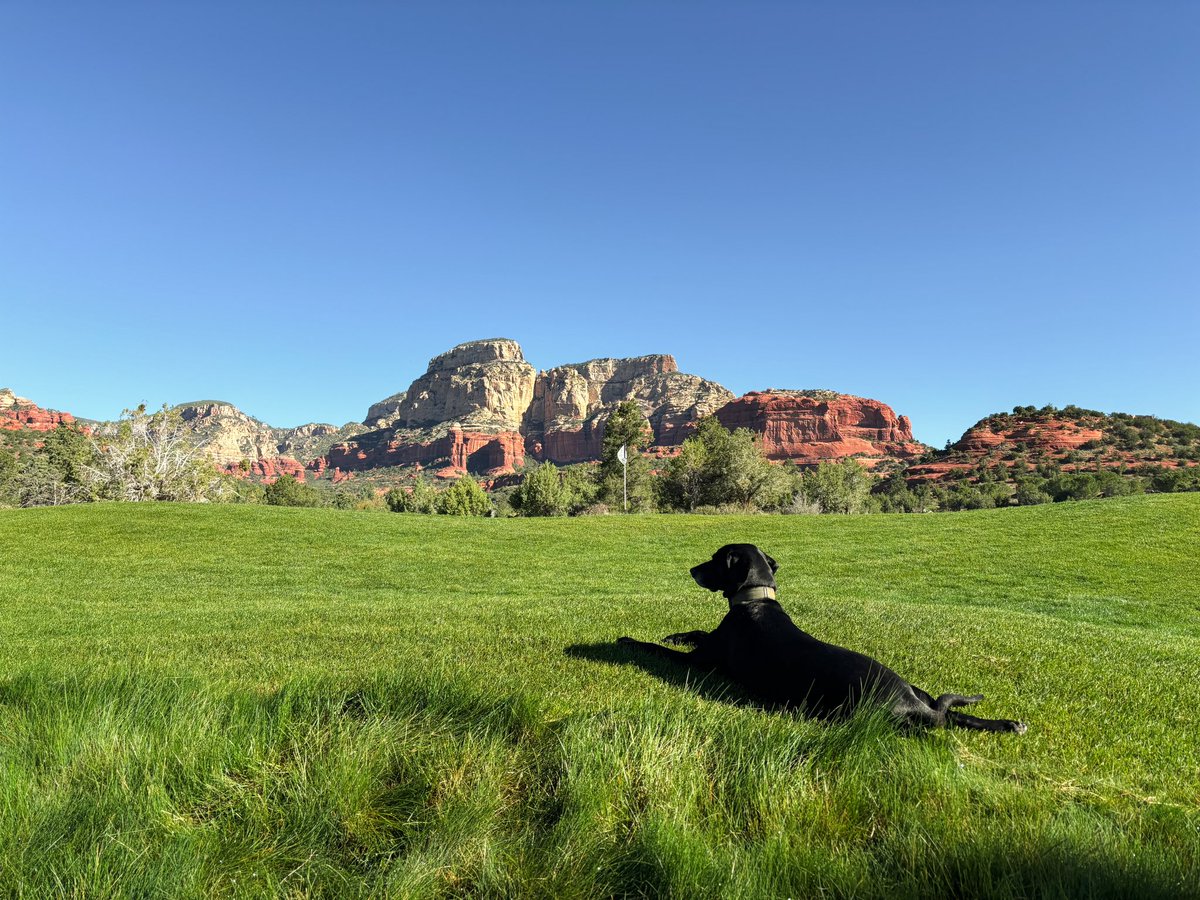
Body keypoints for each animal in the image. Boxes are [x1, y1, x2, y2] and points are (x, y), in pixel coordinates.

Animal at [619, 542, 1022, 734]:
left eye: (716, 558)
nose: (691, 569)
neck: (755, 599)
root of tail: (909, 699)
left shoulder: (703, 660)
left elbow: (654, 647)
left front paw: (628, 640)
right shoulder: (710, 643)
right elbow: (695, 632)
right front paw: (674, 633)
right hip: (924, 695)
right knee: (954, 715)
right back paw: (1008, 724)